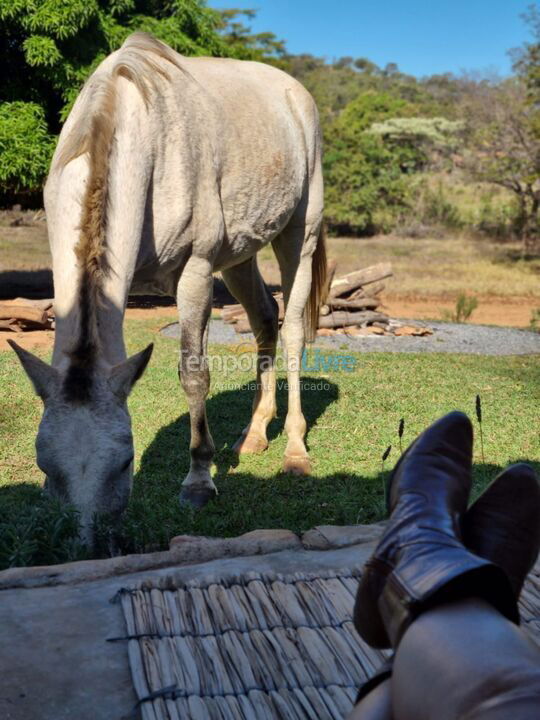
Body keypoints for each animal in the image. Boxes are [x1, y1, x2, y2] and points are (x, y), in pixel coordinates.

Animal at [9, 31, 324, 544]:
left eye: (125, 462)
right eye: (45, 465)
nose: (89, 542)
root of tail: (296, 93)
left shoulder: (195, 272)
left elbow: (194, 374)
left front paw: (199, 481)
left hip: (300, 233)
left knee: (294, 329)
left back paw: (295, 451)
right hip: (240, 256)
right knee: (265, 319)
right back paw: (255, 435)